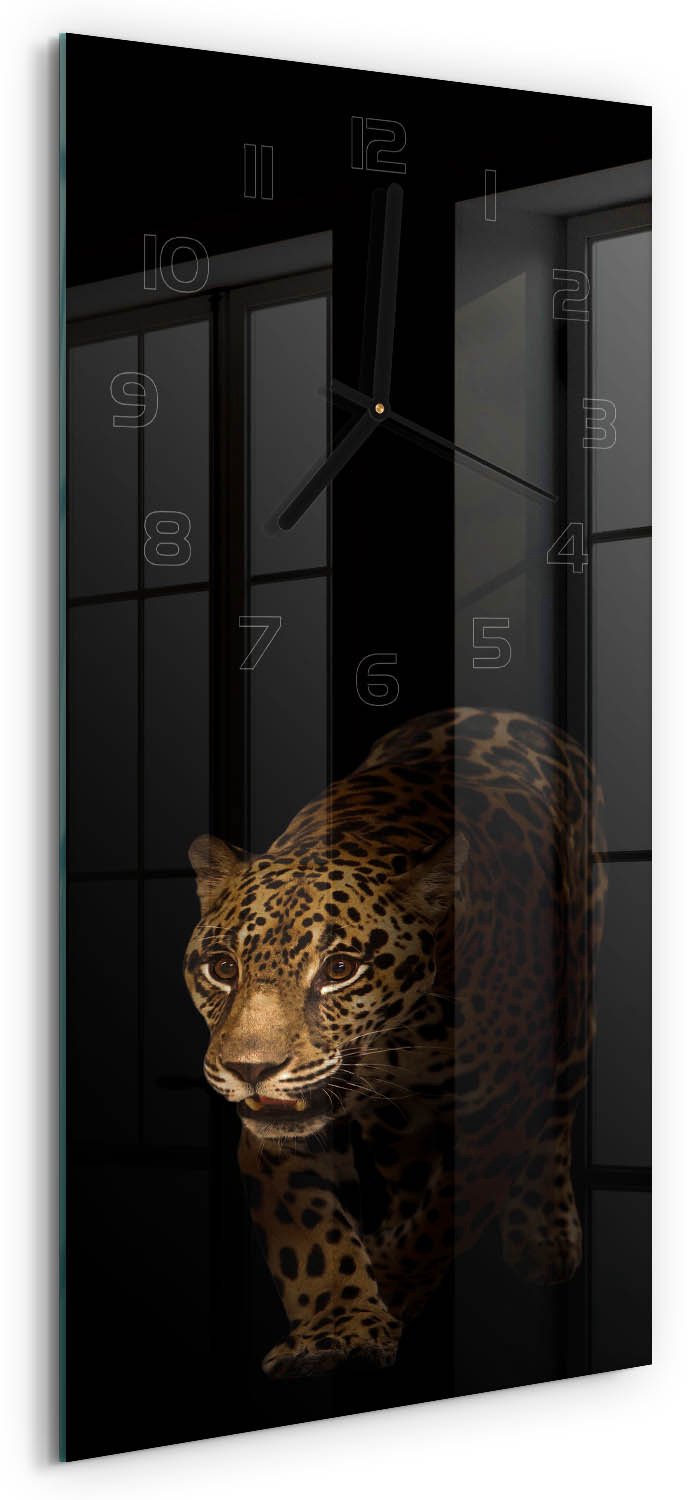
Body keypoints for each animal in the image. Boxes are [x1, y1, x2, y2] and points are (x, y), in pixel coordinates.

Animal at [183, 707, 606, 1379]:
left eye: (339, 969)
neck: (400, 1043)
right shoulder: (280, 1135)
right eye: (222, 967)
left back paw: (543, 1231)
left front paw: (391, 1284)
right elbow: (311, 1236)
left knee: (554, 1119)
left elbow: (442, 1221)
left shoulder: (494, 1119)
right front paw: (339, 1327)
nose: (250, 1068)